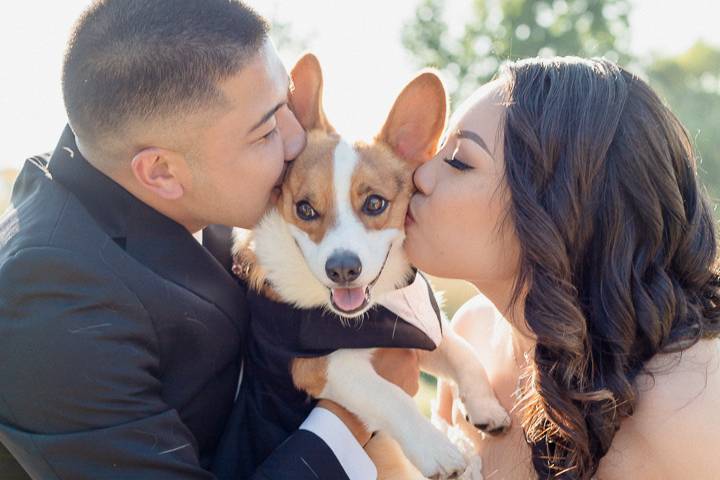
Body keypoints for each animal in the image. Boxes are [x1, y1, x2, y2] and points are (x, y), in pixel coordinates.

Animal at [233, 54, 510, 478]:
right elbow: (390, 395)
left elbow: (462, 351)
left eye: (375, 203)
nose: (342, 269)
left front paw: (485, 407)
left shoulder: (420, 332)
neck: (377, 307)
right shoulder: (321, 366)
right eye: (305, 209)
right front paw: (437, 449)